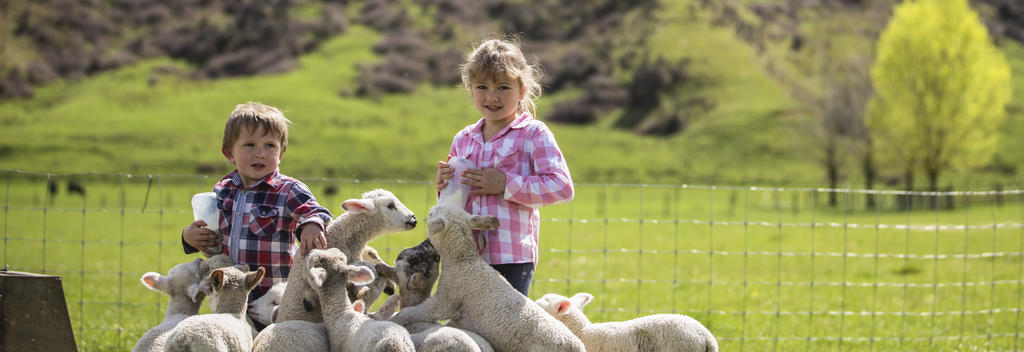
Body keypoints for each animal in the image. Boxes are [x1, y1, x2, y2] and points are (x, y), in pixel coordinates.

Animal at [387, 203, 585, 352]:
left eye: (430, 213)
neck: (464, 262)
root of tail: (578, 347)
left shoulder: (447, 300)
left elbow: (413, 312)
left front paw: (394, 320)